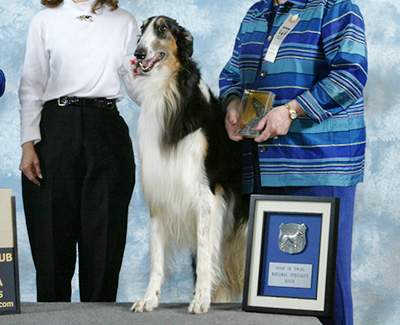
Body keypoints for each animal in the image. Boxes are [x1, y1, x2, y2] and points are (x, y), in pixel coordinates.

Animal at [128, 15, 248, 314]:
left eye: (162, 29)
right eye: (142, 30)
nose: (138, 54)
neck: (169, 91)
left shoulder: (207, 196)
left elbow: (204, 253)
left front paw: (201, 299)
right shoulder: (160, 193)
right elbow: (156, 258)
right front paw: (149, 299)